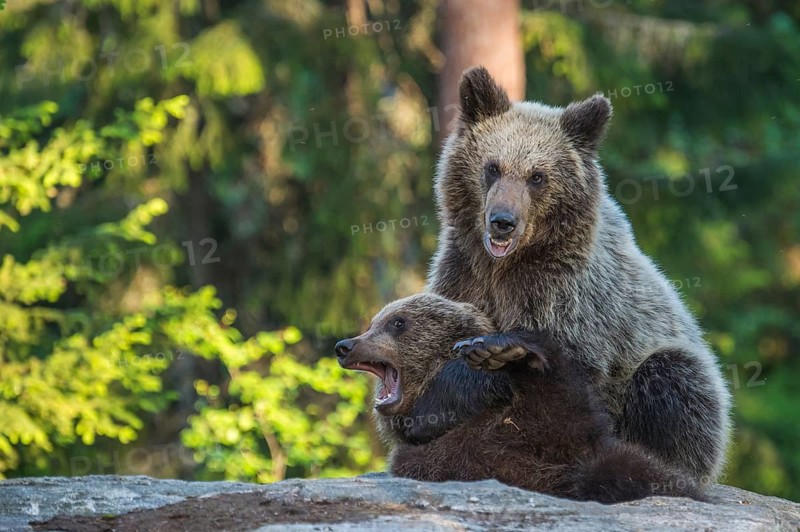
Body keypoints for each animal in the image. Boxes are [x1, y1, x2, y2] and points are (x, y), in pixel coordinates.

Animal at [409, 66, 731, 485]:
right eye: (492, 167)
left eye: (537, 176)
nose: (502, 222)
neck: (505, 268)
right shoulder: (463, 275)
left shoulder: (568, 296)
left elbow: (563, 372)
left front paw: (493, 353)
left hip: (689, 378)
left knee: (671, 380)